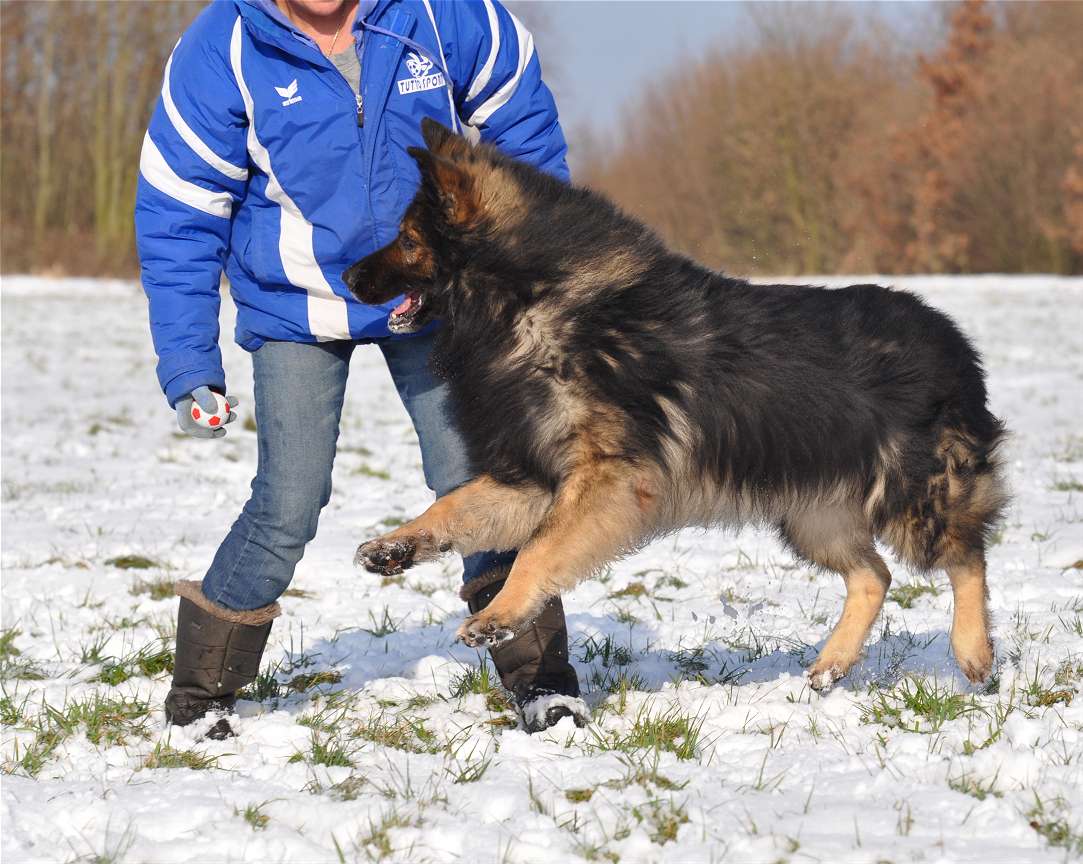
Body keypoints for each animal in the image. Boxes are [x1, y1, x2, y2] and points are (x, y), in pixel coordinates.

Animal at [343, 118, 1007, 689]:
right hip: (814, 514)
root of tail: (952, 338)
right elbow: (456, 507)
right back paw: (831, 665)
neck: (536, 299)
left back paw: (973, 652)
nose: (347, 278)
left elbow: (537, 550)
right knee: (875, 575)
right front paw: (394, 545)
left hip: (911, 500)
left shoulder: (605, 482)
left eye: (408, 240)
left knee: (966, 555)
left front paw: (497, 615)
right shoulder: (533, 478)